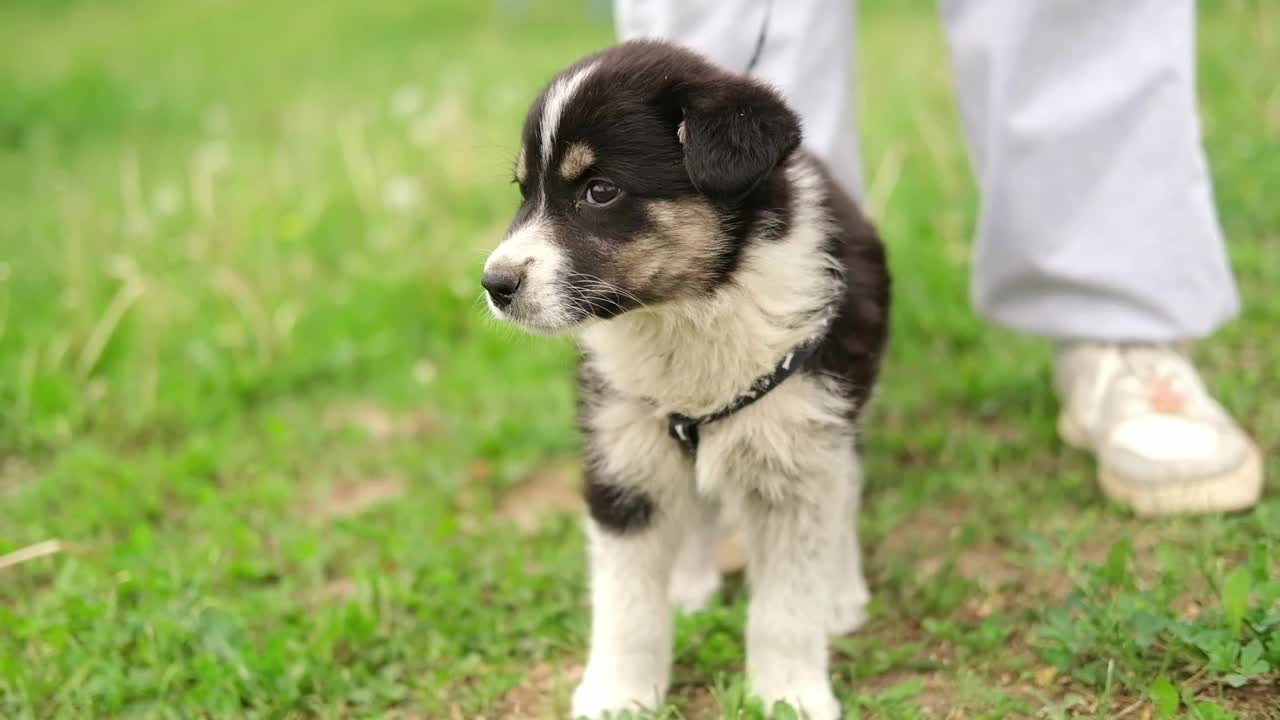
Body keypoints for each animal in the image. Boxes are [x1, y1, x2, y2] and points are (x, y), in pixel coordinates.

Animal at [481, 40, 890, 717]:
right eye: (523, 190)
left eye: (599, 190)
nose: (494, 285)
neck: (685, 313)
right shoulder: (622, 450)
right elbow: (626, 605)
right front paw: (619, 697)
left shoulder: (800, 446)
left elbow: (786, 605)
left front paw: (789, 697)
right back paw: (690, 582)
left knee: (847, 487)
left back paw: (842, 593)